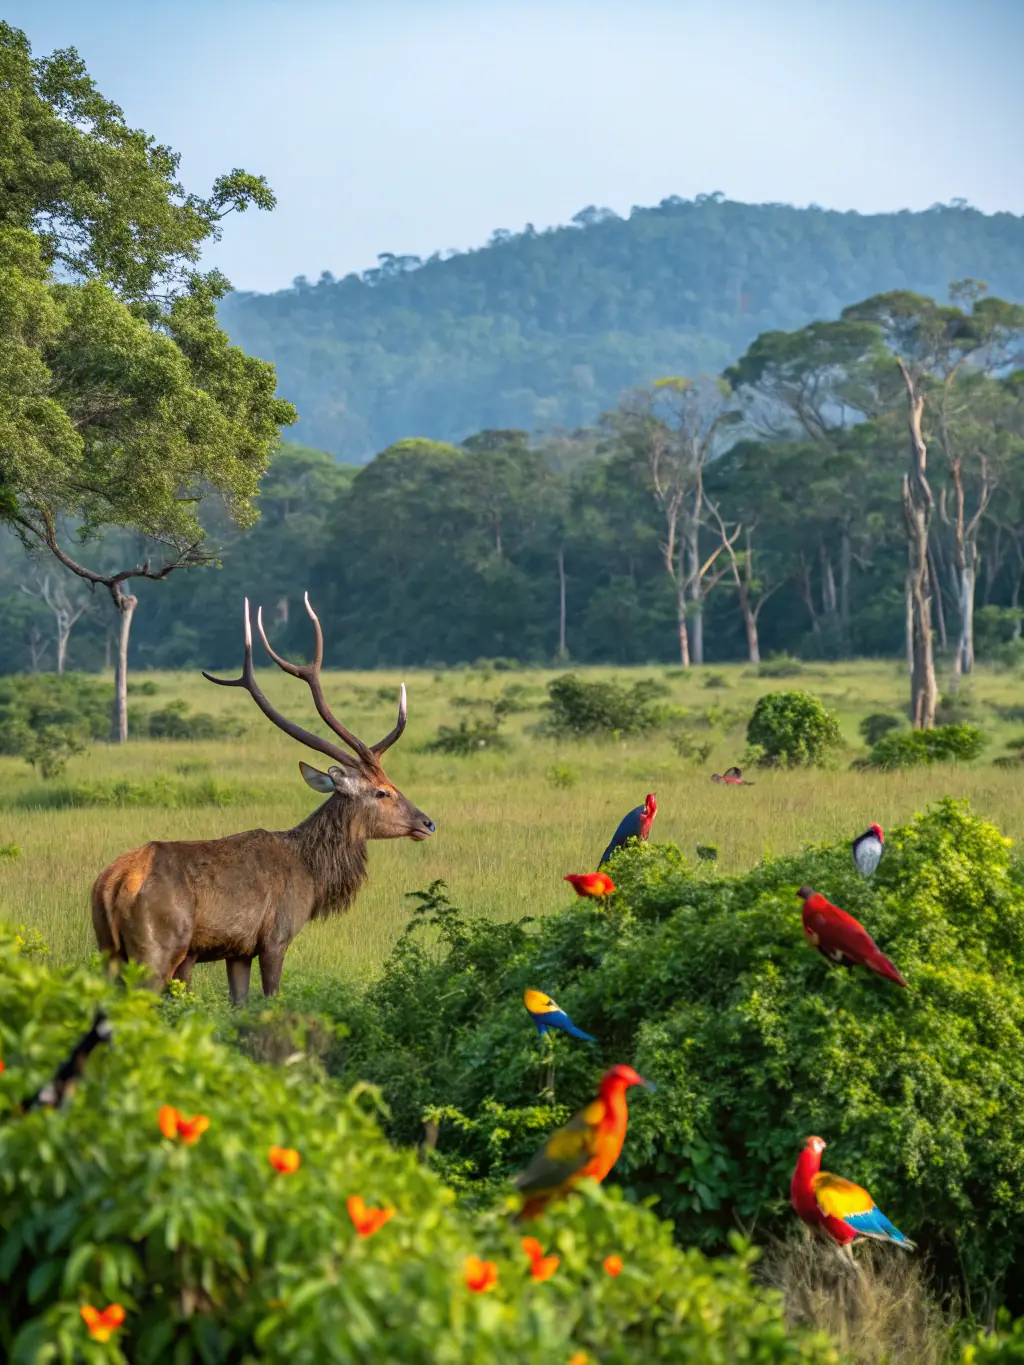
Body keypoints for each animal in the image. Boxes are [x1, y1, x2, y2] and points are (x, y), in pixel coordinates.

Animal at [91, 595, 435, 1004]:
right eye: (383, 791)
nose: (428, 822)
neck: (311, 876)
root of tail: (112, 885)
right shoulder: (275, 937)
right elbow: (272, 996)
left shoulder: (237, 949)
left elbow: (239, 1004)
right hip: (157, 949)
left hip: (107, 949)